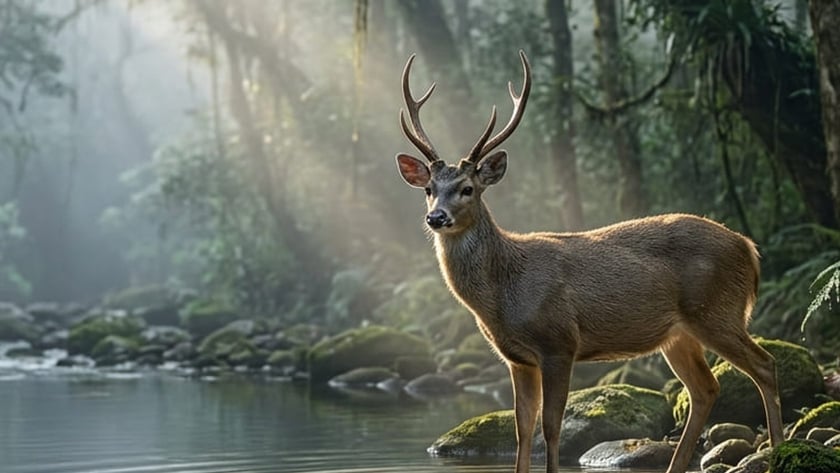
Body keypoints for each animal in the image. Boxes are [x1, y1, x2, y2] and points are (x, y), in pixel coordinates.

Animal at [394, 50, 783, 473]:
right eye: (429, 189)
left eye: (467, 189)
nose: (436, 217)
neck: (504, 293)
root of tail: (749, 248)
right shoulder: (517, 358)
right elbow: (522, 430)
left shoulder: (559, 341)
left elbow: (551, 427)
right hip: (679, 333)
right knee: (705, 388)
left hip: (717, 311)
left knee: (765, 364)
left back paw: (780, 450)